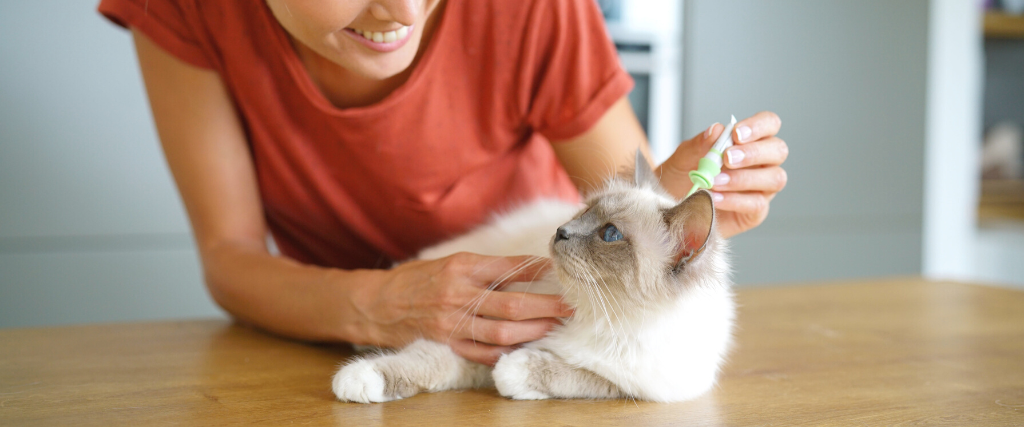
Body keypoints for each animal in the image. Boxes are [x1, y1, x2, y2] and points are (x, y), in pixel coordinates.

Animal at [331, 150, 733, 403]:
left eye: (610, 234)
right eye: (584, 211)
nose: (561, 231)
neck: (597, 314)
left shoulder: (633, 386)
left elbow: (573, 374)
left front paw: (514, 375)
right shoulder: (478, 339)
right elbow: (420, 362)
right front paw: (356, 380)